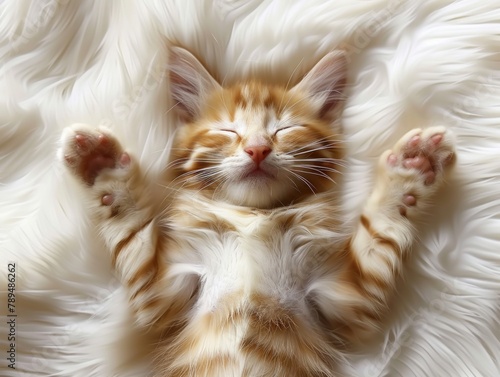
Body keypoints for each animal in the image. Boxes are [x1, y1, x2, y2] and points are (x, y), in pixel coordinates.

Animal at [59, 47, 458, 376]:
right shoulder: (158, 297)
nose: (257, 149)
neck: (253, 217)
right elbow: (132, 231)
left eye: (285, 129)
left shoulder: (352, 303)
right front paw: (102, 166)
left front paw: (411, 170)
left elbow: (381, 232)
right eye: (227, 131)